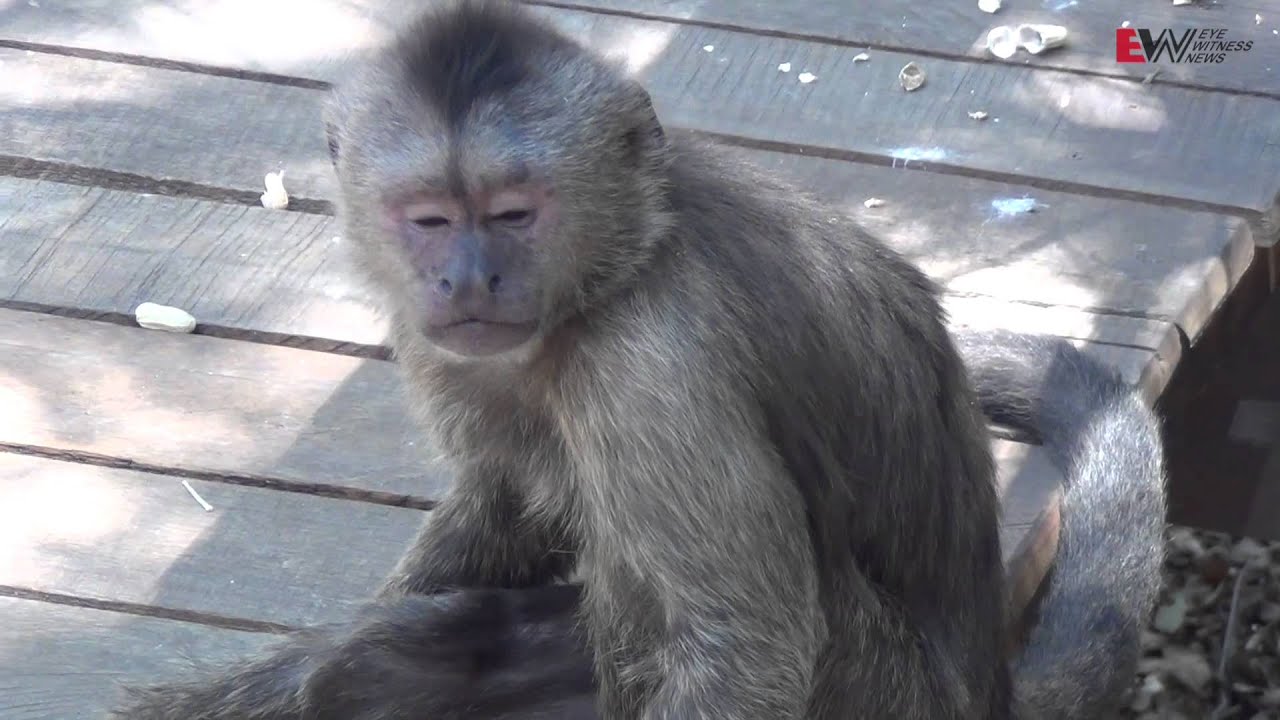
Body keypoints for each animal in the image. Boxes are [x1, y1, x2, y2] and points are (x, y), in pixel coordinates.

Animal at [110, 0, 1168, 716]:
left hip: (880, 693)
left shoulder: (655, 362)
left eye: (513, 214)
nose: (467, 279)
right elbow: (499, 508)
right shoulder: (428, 330)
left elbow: (746, 648)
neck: (604, 279)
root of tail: (982, 695)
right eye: (431, 221)